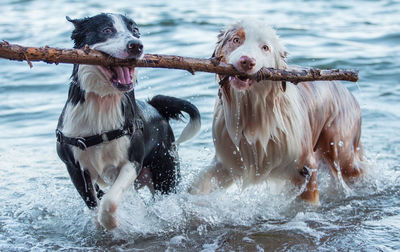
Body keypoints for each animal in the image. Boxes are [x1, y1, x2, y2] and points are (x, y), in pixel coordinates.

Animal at [56, 13, 200, 230]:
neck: (102, 103)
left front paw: (114, 223)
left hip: (165, 172)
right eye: (106, 30)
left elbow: (109, 202)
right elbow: (93, 203)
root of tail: (156, 107)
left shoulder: (132, 162)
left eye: (136, 31)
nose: (136, 45)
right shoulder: (75, 168)